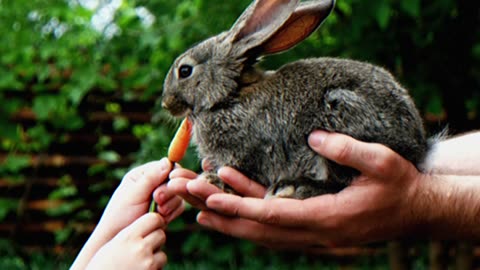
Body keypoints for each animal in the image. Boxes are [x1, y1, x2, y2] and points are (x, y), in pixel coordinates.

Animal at [161, 0, 428, 198]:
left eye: (185, 71)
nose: (166, 103)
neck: (231, 95)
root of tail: (417, 146)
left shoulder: (247, 152)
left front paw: (212, 179)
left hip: (340, 113)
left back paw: (293, 187)